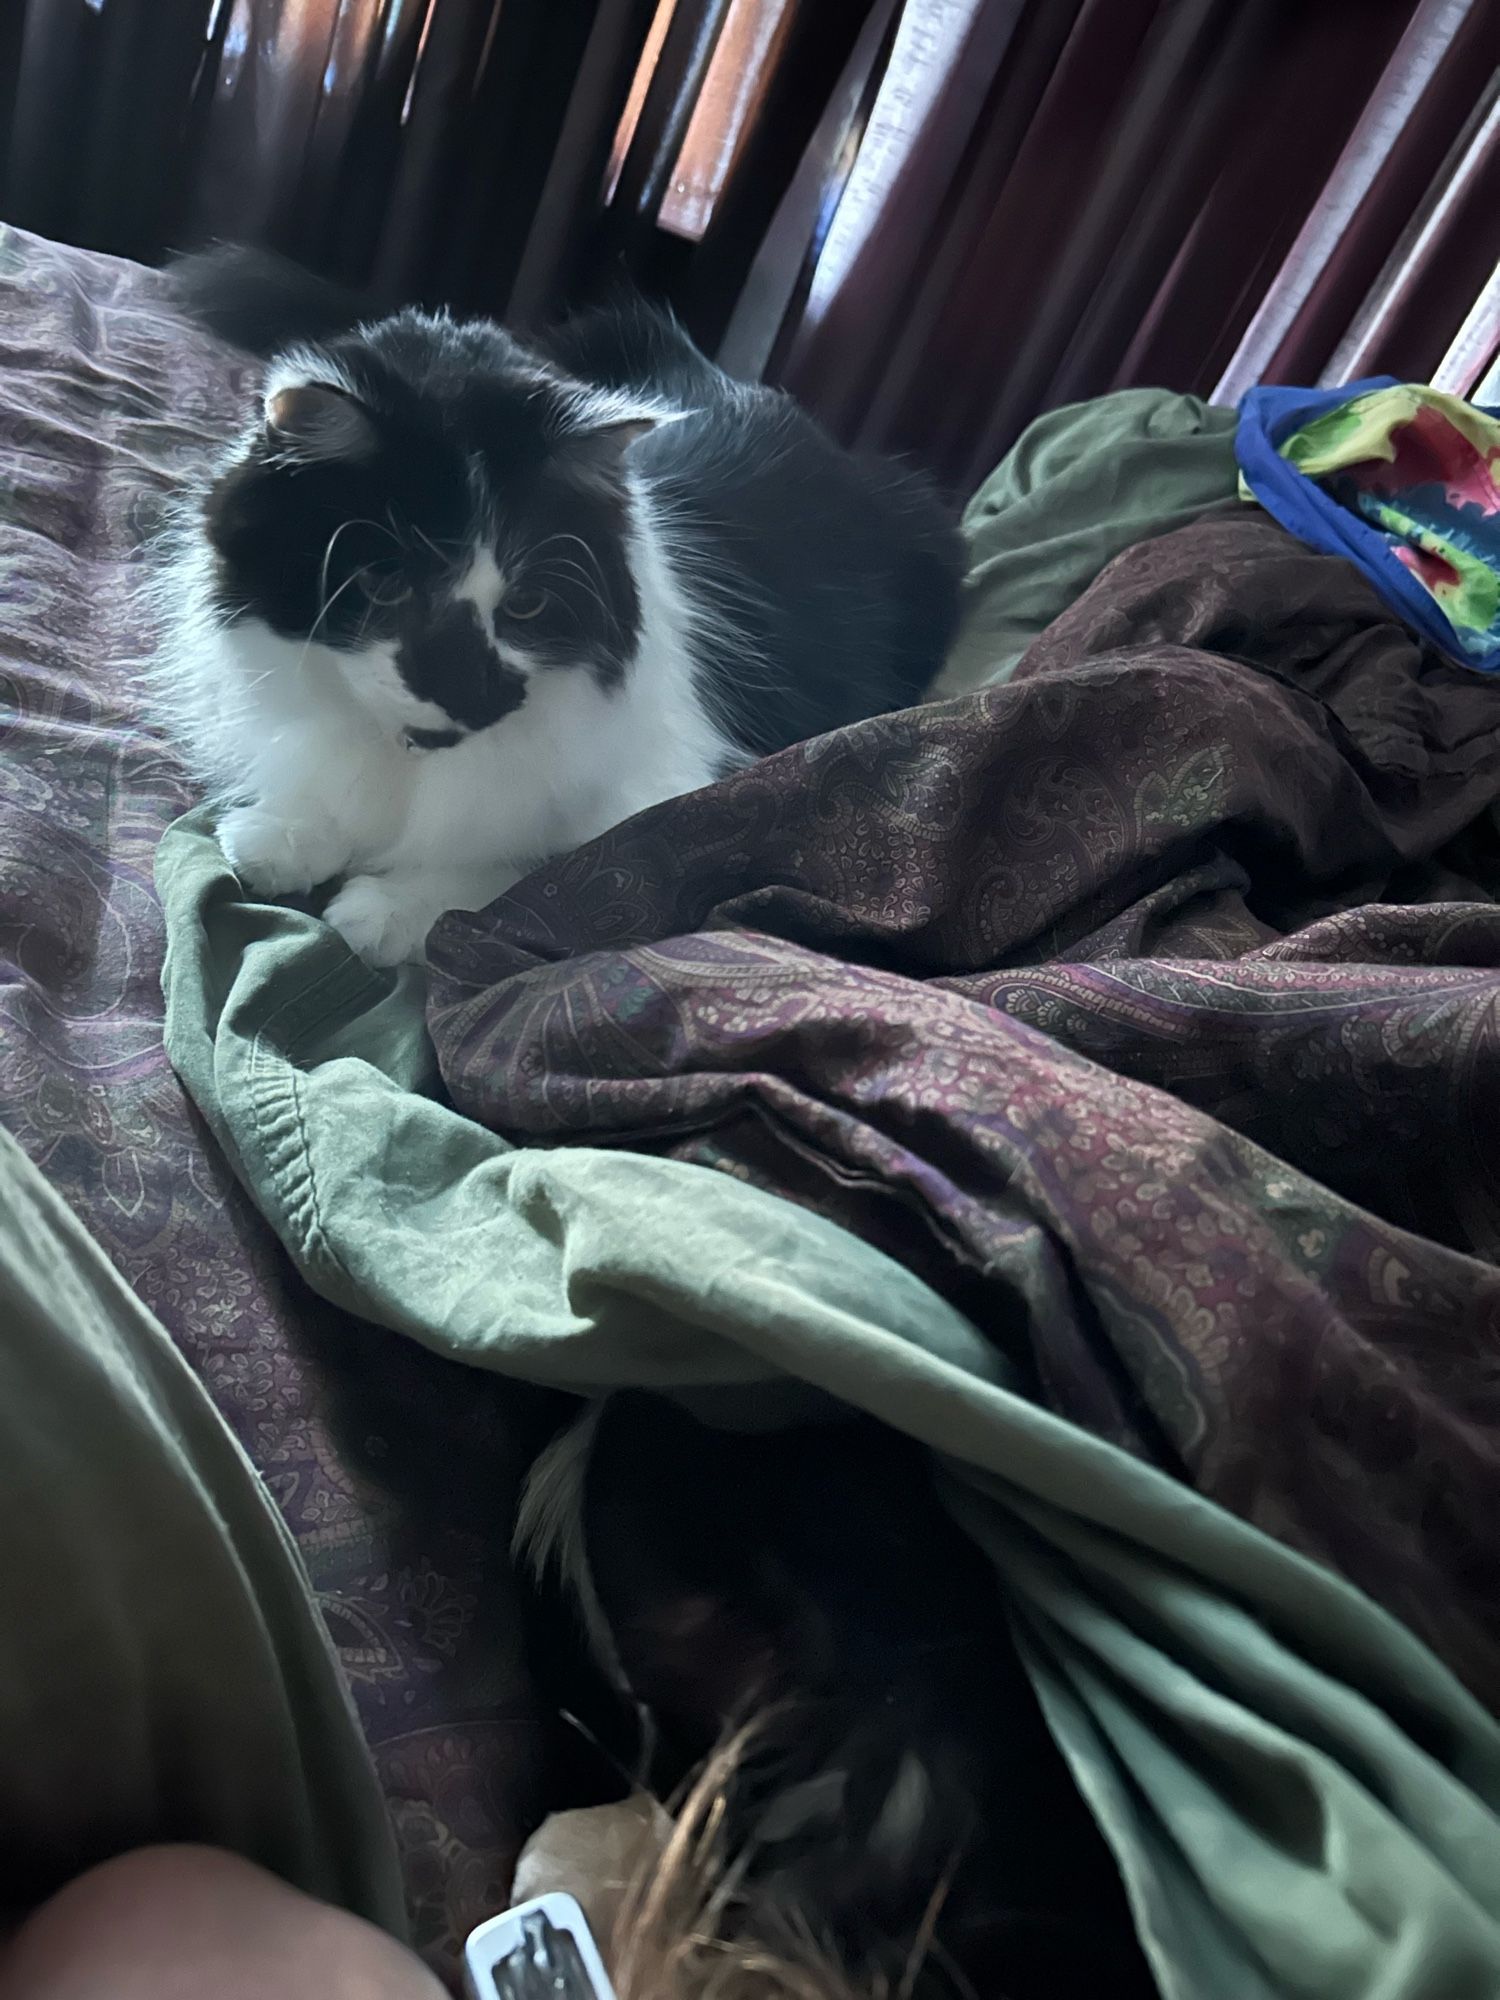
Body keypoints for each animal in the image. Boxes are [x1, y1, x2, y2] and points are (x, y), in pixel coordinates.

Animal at [159, 246, 964, 964]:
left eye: (526, 606)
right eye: (387, 587)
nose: (474, 697)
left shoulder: (688, 812)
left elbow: (538, 874)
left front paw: (383, 910)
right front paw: (285, 834)